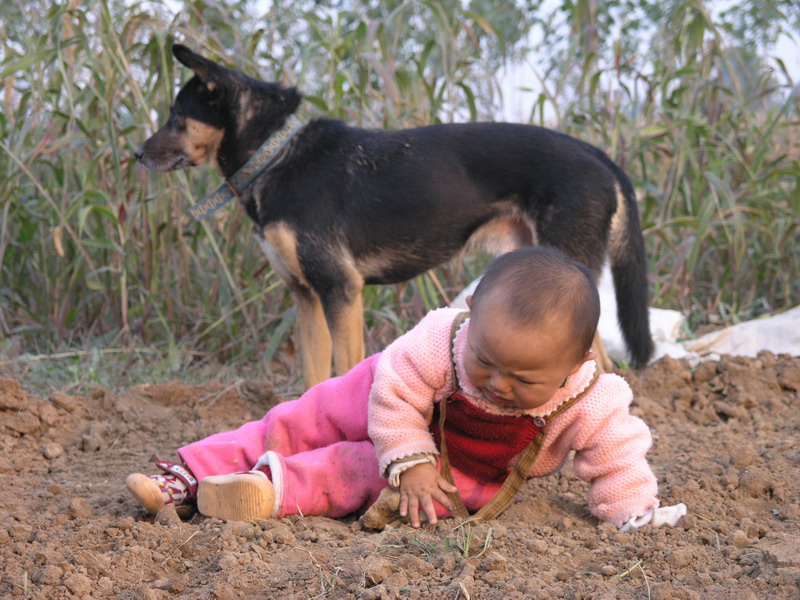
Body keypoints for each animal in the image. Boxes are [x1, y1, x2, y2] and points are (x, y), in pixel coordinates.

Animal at [134, 43, 652, 390]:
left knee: (603, 367)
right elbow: (313, 377)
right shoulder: (307, 296)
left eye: (177, 117)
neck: (275, 156)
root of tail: (598, 155)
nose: (137, 155)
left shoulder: (341, 291)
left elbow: (345, 367)